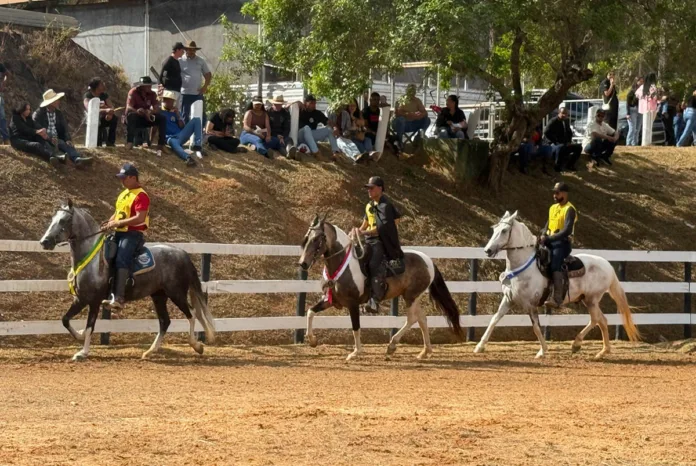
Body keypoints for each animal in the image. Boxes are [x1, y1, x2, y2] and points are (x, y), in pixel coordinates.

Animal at [39, 200, 216, 361]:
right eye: (53, 218)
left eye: (64, 220)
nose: (44, 242)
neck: (93, 259)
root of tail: (182, 253)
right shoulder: (80, 299)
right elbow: (65, 320)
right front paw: (80, 337)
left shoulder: (92, 300)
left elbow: (89, 326)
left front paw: (83, 352)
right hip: (159, 295)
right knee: (165, 321)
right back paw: (149, 352)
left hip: (176, 293)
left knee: (192, 314)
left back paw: (196, 345)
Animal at [298, 215, 463, 361]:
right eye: (306, 238)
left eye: (317, 239)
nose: (303, 263)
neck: (343, 264)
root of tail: (428, 260)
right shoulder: (330, 300)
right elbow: (310, 312)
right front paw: (312, 340)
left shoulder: (353, 304)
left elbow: (355, 327)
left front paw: (355, 353)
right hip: (413, 297)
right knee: (422, 318)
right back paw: (424, 352)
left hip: (411, 296)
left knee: (412, 318)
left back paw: (392, 345)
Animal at [476, 210, 640, 359]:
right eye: (494, 229)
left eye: (504, 230)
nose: (487, 250)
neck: (524, 266)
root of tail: (608, 265)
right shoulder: (508, 300)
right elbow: (494, 319)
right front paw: (479, 347)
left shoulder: (530, 304)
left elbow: (536, 327)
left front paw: (542, 351)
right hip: (588, 300)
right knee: (602, 321)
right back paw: (602, 352)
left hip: (591, 299)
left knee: (596, 319)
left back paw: (577, 344)